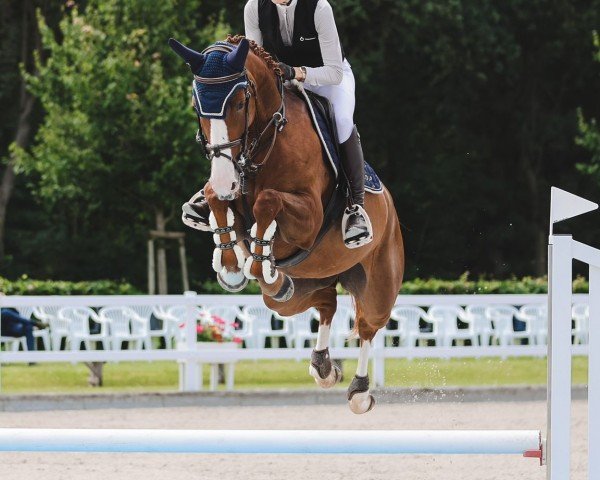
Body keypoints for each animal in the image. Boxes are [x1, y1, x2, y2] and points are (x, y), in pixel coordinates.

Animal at [169, 36, 404, 412]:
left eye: (240, 102)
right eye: (197, 104)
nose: (225, 178)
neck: (263, 141)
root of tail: (392, 208)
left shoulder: (309, 218)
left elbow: (268, 201)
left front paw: (258, 257)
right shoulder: (230, 185)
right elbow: (217, 198)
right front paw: (232, 264)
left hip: (380, 280)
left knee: (369, 325)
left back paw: (359, 390)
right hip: (299, 291)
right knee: (324, 302)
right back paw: (320, 360)